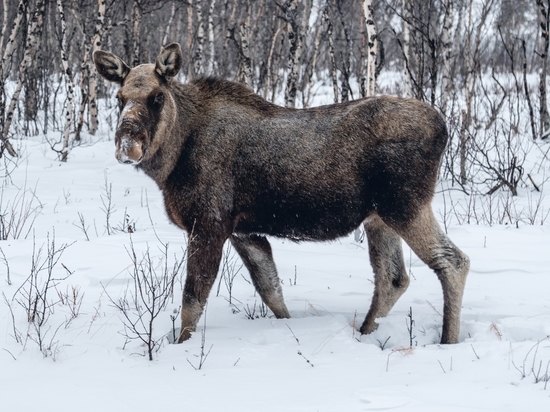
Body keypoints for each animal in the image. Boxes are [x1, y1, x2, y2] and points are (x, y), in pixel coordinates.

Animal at [94, 41, 470, 344]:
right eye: (119, 98)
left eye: (157, 97)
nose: (127, 146)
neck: (172, 161)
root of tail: (444, 127)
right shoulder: (245, 231)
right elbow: (272, 292)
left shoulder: (209, 223)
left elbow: (192, 302)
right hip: (378, 217)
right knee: (393, 278)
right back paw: (365, 333)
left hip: (405, 205)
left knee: (453, 261)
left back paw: (447, 340)